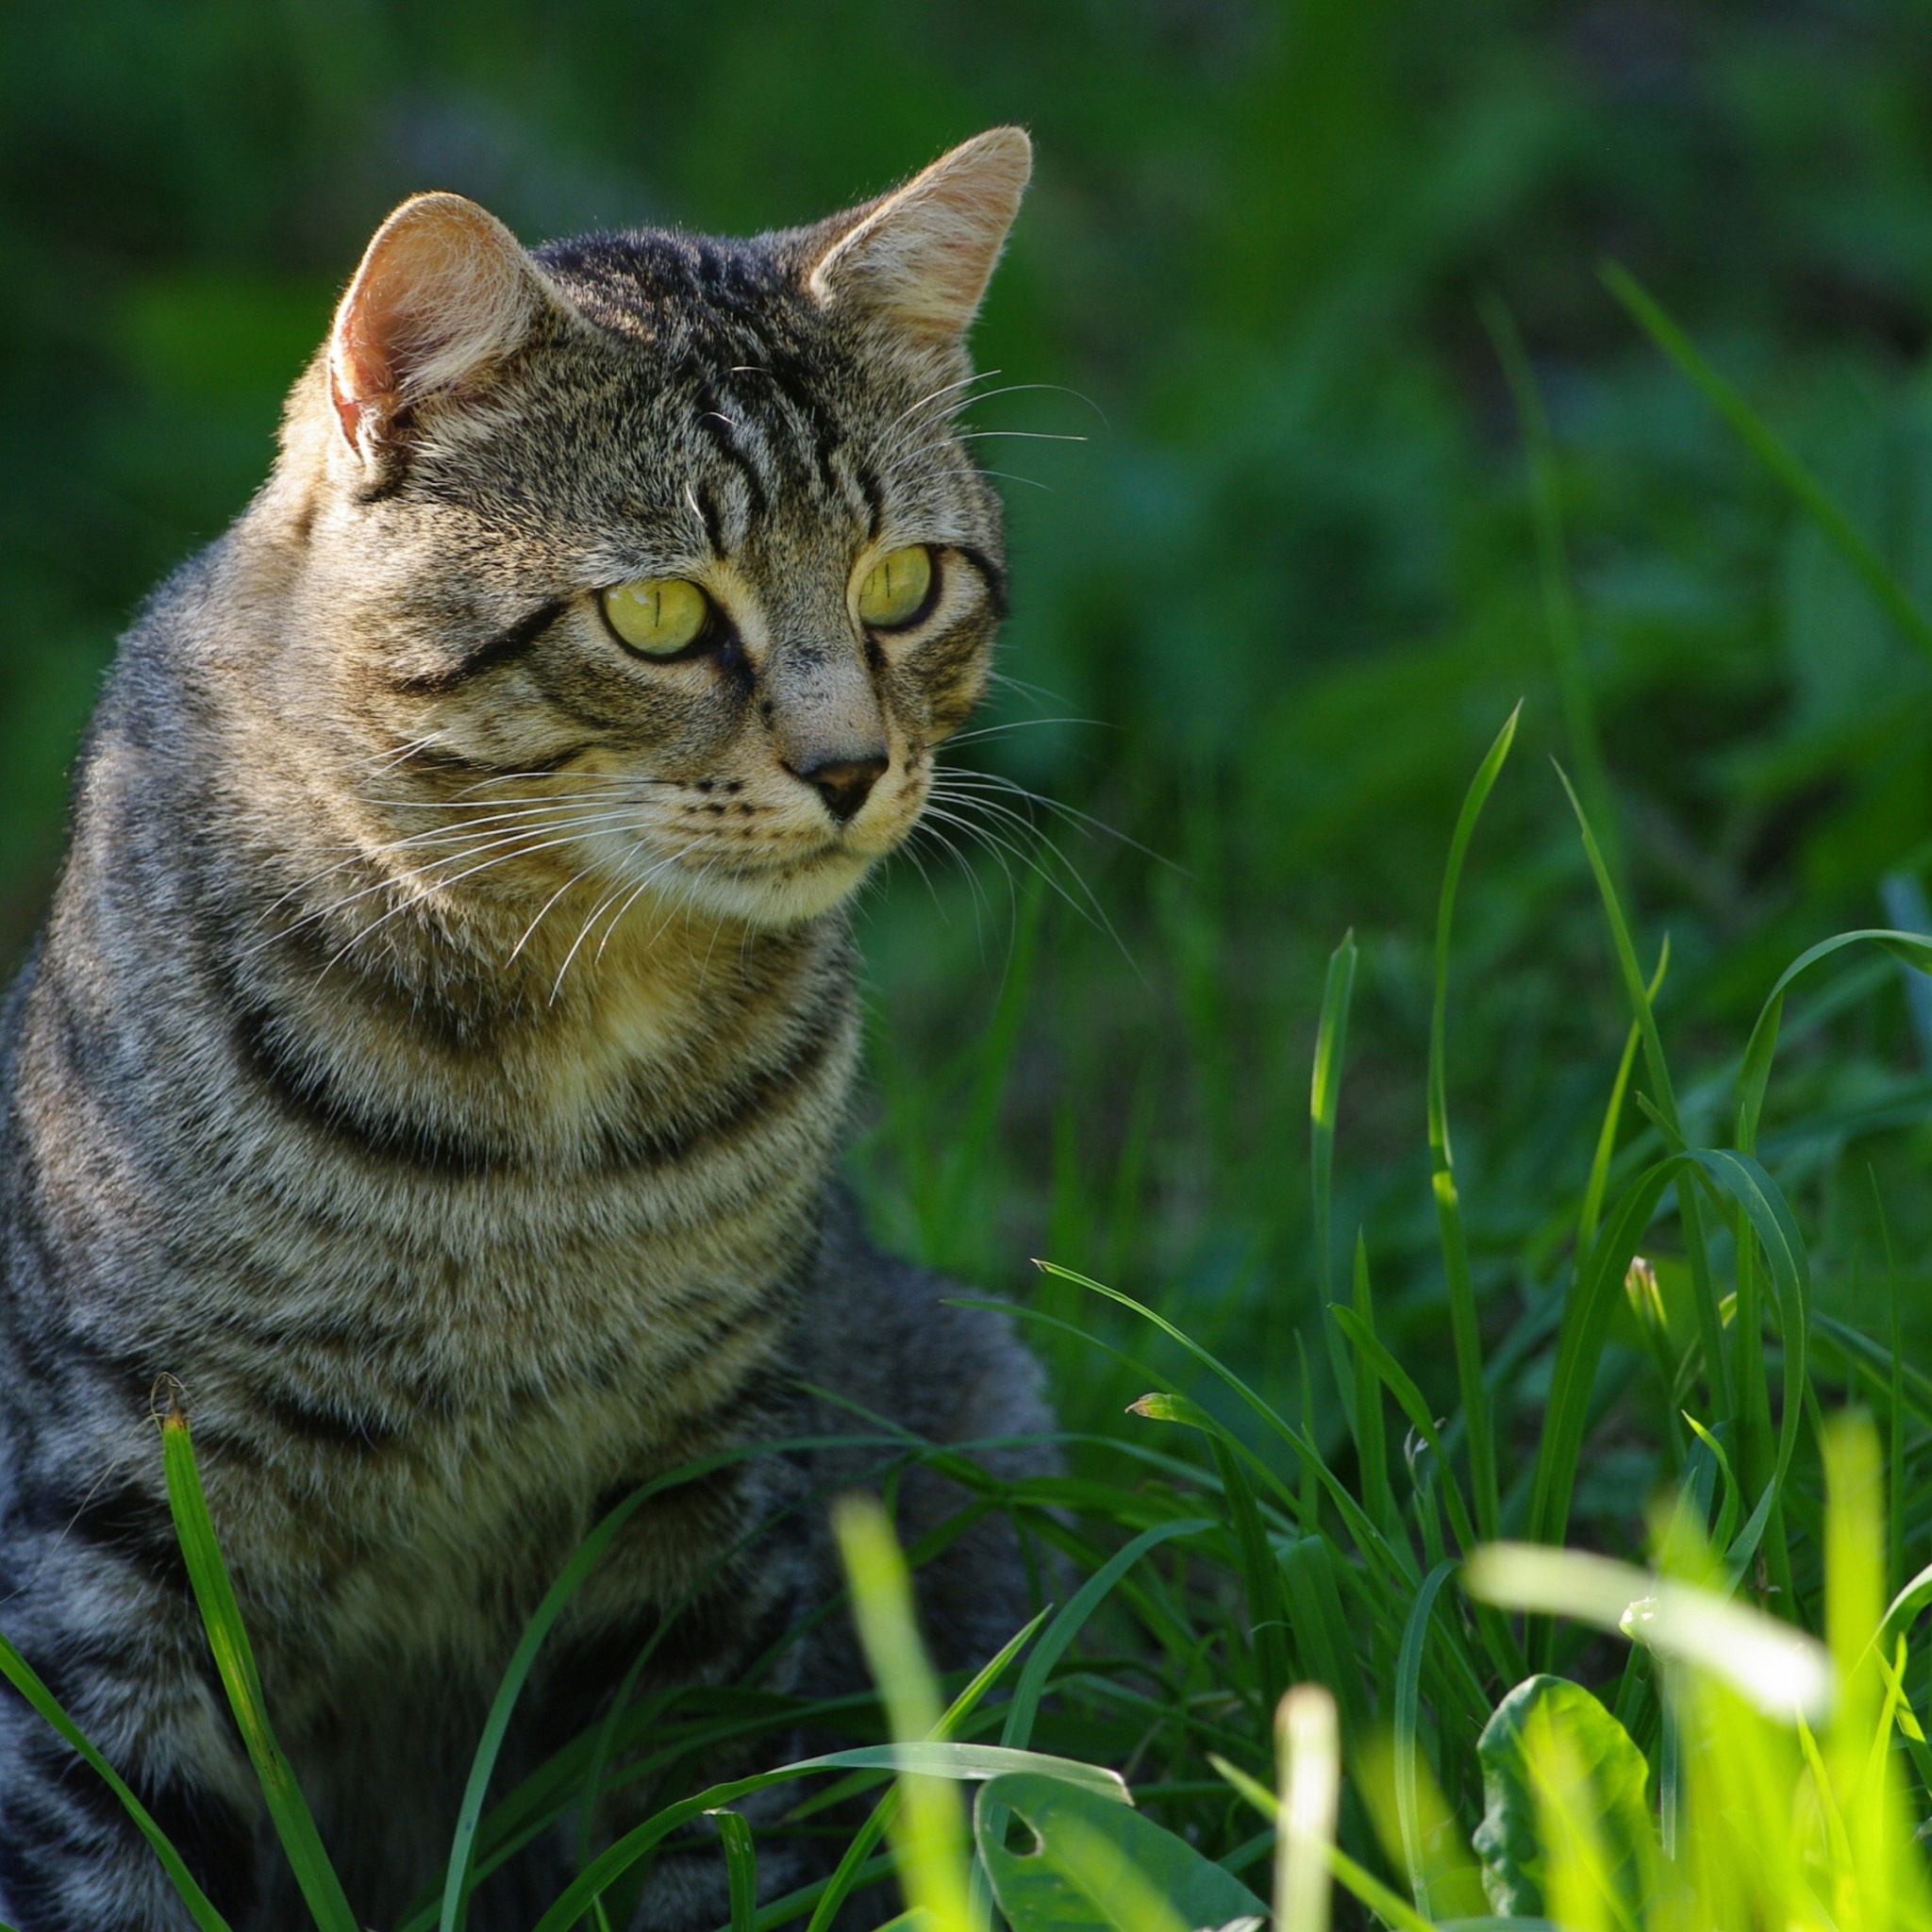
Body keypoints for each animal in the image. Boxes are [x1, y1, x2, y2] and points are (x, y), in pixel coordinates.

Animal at [0, 128, 1058, 1924]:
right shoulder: (117, 1518)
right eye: (658, 617)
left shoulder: (699, 1491)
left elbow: (697, 1825)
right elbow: (108, 1854)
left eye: (906, 583)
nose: (853, 767)